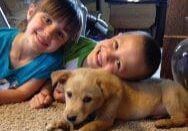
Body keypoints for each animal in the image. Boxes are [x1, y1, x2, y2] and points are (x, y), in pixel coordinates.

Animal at [46, 68, 188, 130]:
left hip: (170, 96)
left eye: (88, 99)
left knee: (182, 118)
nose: (70, 117)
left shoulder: (105, 120)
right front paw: (58, 123)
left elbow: (88, 126)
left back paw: (164, 123)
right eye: (69, 94)